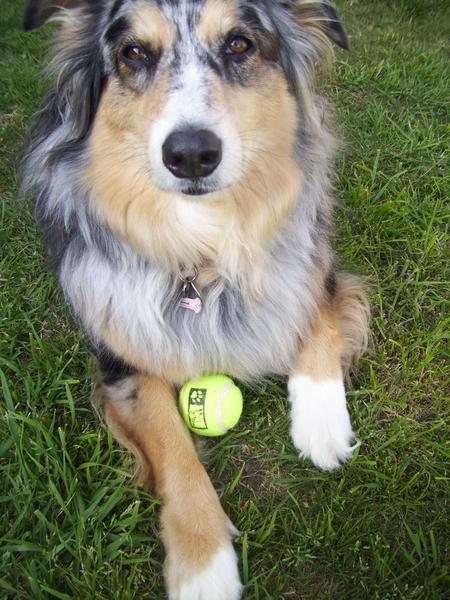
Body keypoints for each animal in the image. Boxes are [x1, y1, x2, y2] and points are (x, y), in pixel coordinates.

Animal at [22, 0, 370, 596]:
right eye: (133, 52)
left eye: (239, 44)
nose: (189, 155)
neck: (203, 245)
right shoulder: (121, 355)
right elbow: (173, 448)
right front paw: (204, 566)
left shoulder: (316, 256)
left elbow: (317, 317)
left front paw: (322, 424)